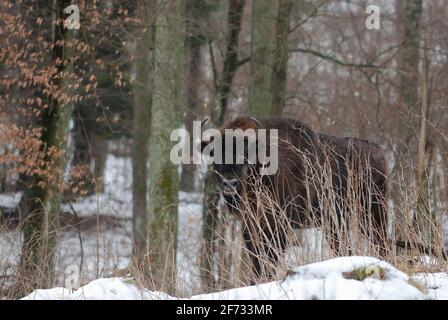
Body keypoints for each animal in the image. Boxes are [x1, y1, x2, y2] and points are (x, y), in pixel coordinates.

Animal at [201, 117, 386, 280]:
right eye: (214, 153)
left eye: (245, 152)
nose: (229, 183)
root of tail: (378, 153)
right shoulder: (251, 227)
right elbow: (257, 261)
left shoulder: (280, 227)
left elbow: (268, 262)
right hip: (337, 222)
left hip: (373, 215)